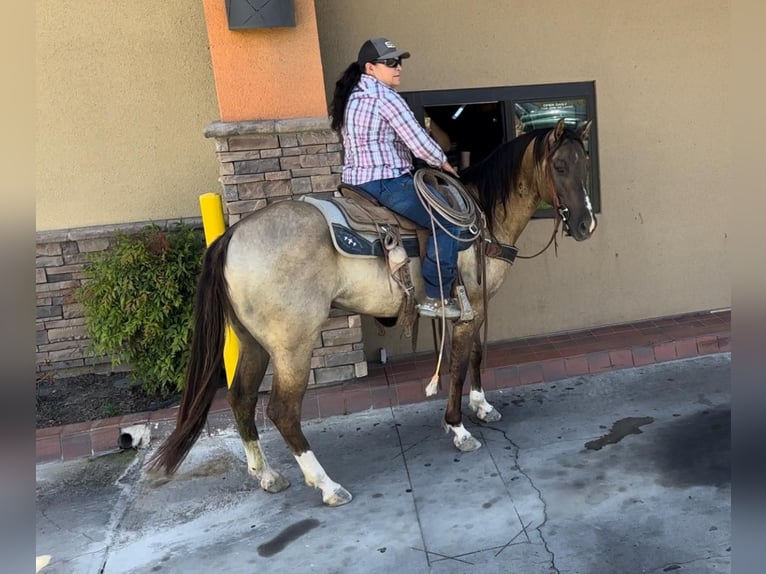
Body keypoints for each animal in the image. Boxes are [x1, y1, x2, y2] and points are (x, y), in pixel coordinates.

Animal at [150, 118, 600, 508]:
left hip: (252, 342)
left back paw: (267, 475)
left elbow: (474, 357)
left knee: (241, 399)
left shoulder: (476, 308)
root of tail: (232, 235)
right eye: (560, 165)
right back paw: (326, 485)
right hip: (292, 345)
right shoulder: (468, 308)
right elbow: (456, 367)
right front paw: (457, 427)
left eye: (586, 164)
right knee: (281, 410)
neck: (485, 220)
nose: (586, 226)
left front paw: (482, 407)